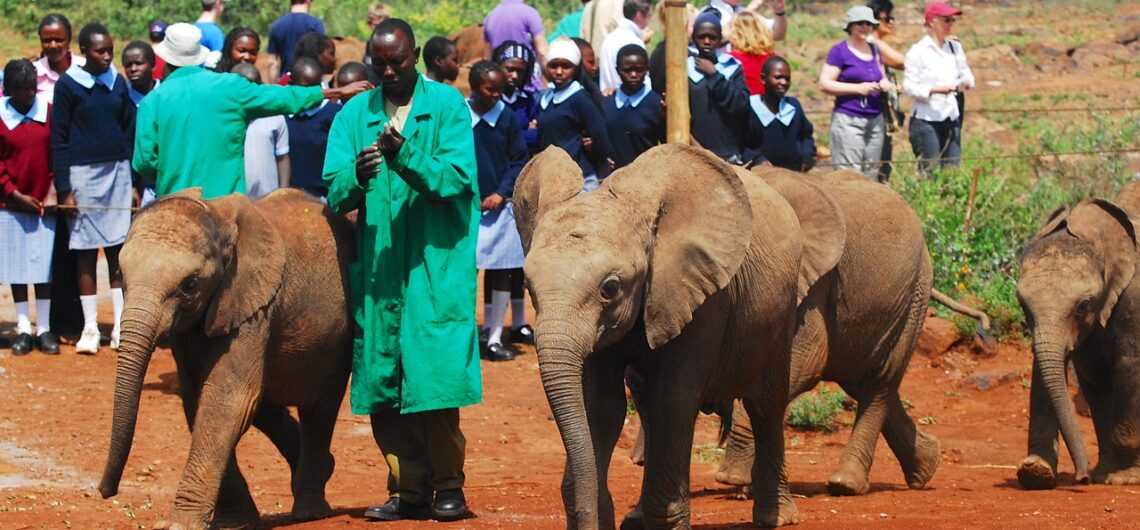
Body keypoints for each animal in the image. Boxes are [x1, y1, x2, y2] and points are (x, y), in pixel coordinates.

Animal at [96, 188, 354, 530]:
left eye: (190, 285)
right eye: (119, 275)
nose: (105, 491)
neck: (217, 217)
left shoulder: (251, 306)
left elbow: (226, 401)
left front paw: (182, 525)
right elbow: (199, 400)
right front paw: (237, 523)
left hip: (338, 339)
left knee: (319, 409)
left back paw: (310, 511)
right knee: (268, 406)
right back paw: (325, 469)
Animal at [514, 144, 848, 529]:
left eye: (610, 288)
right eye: (528, 286)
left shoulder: (704, 295)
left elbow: (674, 399)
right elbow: (600, 405)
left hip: (783, 305)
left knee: (766, 402)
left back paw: (777, 518)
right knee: (647, 403)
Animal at [1015, 189, 1140, 490]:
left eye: (1083, 305)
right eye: (1022, 303)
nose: (1082, 478)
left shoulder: (1135, 303)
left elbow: (1129, 368)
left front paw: (1124, 479)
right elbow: (1091, 379)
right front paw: (1036, 472)